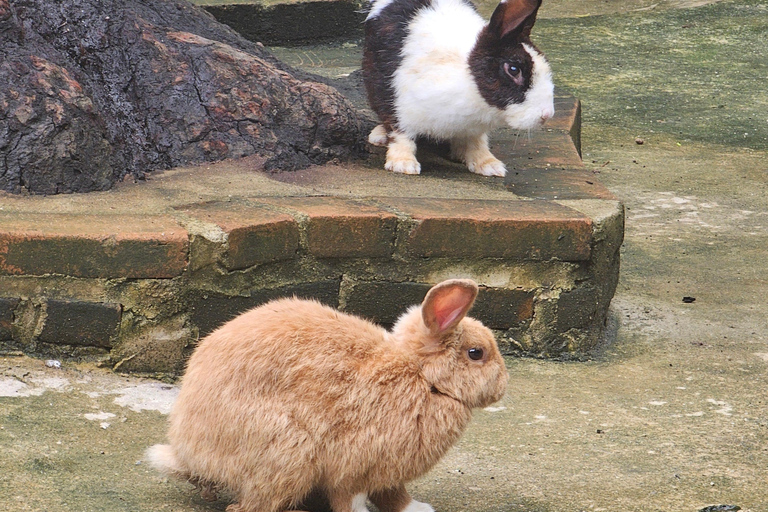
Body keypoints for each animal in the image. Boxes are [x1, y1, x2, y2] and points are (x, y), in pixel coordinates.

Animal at [146, 280, 508, 512]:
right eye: (476, 353)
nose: (504, 386)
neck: (423, 377)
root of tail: (188, 456)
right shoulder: (353, 464)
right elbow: (350, 500)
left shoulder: (386, 473)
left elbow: (394, 497)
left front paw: (418, 508)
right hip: (288, 453)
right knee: (250, 507)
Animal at [364, 0, 556, 177]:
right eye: (514, 70)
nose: (547, 115)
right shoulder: (397, 104)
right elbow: (401, 135)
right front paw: (403, 164)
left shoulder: (475, 129)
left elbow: (477, 143)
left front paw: (489, 165)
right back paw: (379, 136)